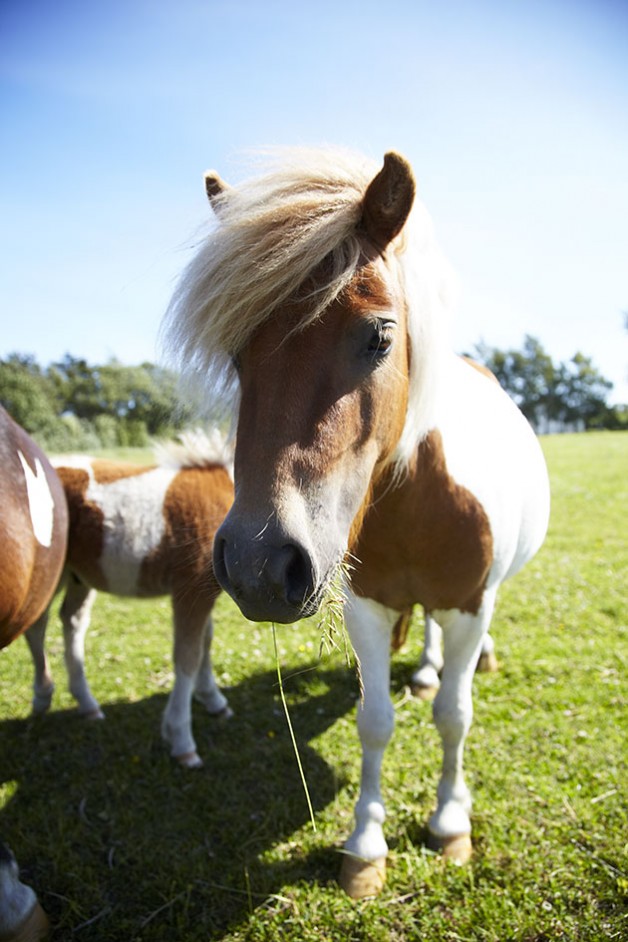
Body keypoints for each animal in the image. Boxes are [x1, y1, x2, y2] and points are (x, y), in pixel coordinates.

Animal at [25, 432, 234, 772]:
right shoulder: (190, 589)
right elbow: (188, 656)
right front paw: (182, 741)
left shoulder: (205, 593)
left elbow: (205, 642)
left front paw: (214, 701)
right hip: (51, 571)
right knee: (36, 625)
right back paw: (43, 696)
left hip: (78, 575)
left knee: (71, 620)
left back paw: (87, 703)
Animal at [164, 148, 552, 900]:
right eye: (236, 352)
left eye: (379, 336)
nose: (258, 565)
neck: (417, 503)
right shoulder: (366, 607)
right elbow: (376, 723)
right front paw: (366, 846)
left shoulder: (469, 605)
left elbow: (454, 716)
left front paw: (449, 823)